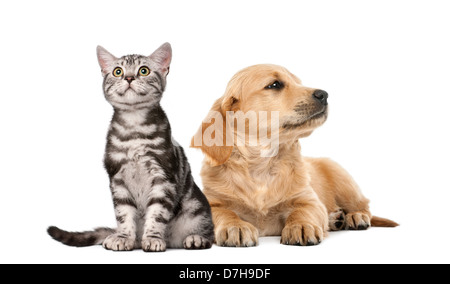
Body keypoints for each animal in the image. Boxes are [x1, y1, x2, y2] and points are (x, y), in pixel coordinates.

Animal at [47, 43, 214, 252]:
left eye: (144, 70)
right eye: (117, 71)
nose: (128, 77)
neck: (134, 126)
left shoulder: (163, 176)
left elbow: (157, 213)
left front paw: (152, 237)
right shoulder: (117, 177)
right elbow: (124, 213)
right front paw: (123, 237)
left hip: (196, 208)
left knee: (207, 230)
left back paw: (195, 238)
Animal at [192, 64, 396, 246]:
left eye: (298, 82)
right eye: (274, 84)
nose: (324, 94)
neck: (262, 165)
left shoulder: (309, 200)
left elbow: (302, 212)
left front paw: (302, 226)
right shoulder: (212, 202)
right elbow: (225, 213)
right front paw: (235, 226)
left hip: (344, 183)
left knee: (364, 205)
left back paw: (355, 216)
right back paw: (336, 219)